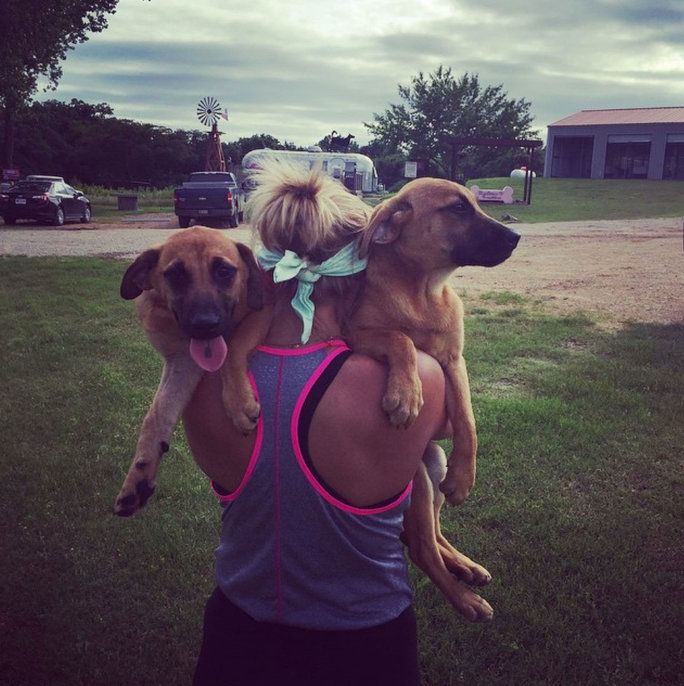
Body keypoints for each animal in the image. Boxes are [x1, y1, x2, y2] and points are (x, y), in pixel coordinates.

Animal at [113, 228, 264, 520]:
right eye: (175, 275)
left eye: (224, 271)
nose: (204, 325)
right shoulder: (183, 363)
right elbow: (156, 415)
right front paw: (137, 477)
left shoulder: (267, 311)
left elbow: (233, 346)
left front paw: (239, 404)